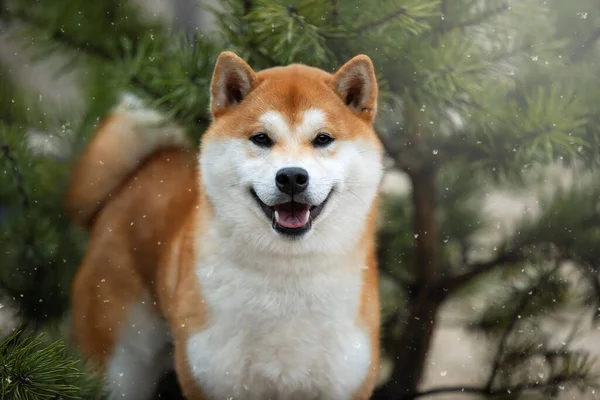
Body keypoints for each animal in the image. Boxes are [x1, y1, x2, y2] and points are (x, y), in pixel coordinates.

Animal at [67, 51, 384, 398]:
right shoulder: (212, 379)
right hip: (121, 362)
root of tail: (139, 174)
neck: (286, 276)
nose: (291, 177)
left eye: (323, 139)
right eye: (261, 138)